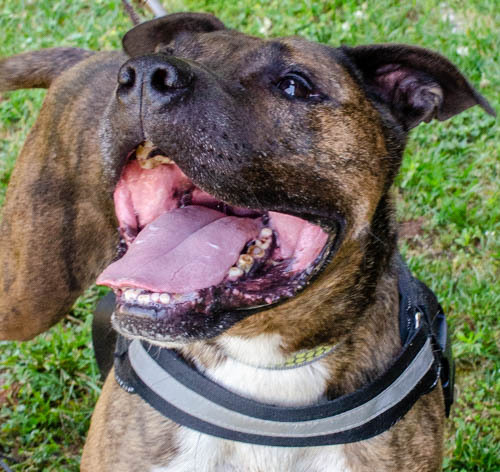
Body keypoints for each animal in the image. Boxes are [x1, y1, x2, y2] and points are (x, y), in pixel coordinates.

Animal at [0, 11, 494, 472]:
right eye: (173, 52)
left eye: (294, 85)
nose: (144, 74)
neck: (261, 359)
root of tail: (92, 58)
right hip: (27, 298)